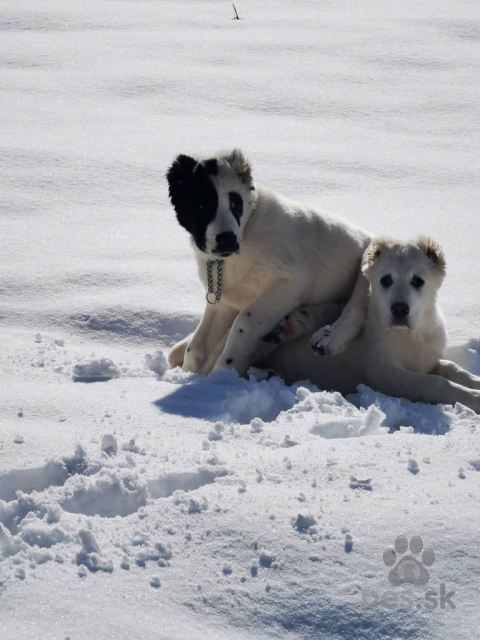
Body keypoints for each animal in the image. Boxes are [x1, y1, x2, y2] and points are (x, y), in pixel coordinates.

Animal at [167, 148, 370, 378]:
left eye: (236, 204)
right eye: (202, 204)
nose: (227, 239)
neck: (246, 230)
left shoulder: (289, 284)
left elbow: (243, 323)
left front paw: (223, 373)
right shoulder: (224, 302)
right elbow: (197, 344)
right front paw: (189, 373)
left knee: (353, 308)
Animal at [264, 238, 480, 412]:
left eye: (418, 281)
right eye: (386, 280)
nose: (399, 309)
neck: (410, 336)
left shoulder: (427, 361)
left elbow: (453, 368)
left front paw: (475, 382)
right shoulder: (383, 373)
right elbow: (435, 383)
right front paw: (473, 398)